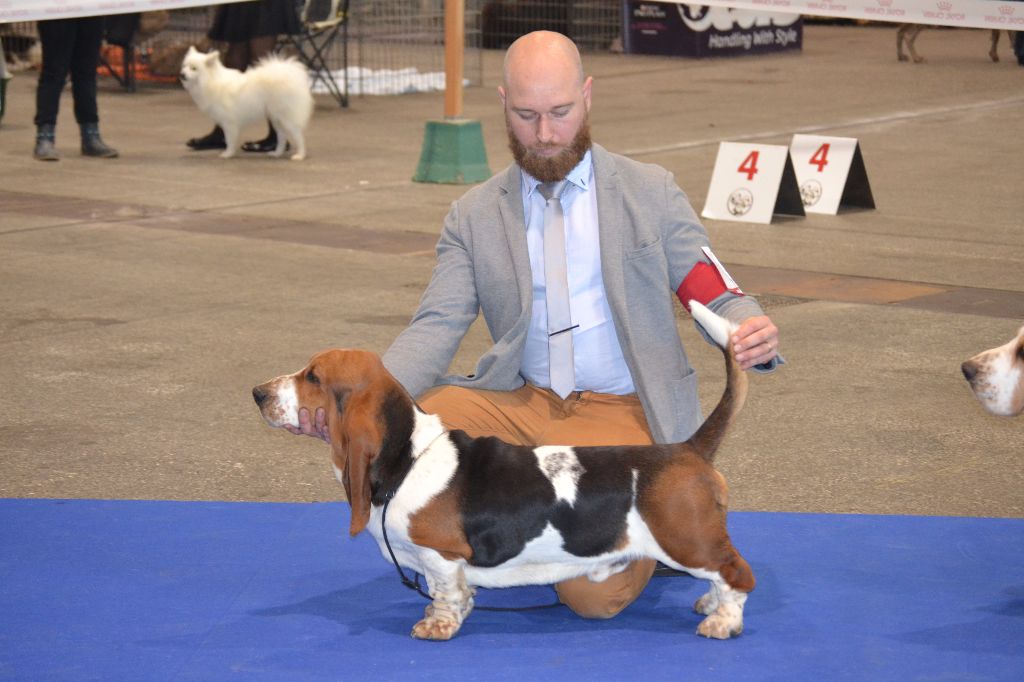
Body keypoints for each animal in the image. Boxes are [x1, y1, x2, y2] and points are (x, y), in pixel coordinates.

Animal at [178, 46, 311, 160]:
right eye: (185, 66)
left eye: (194, 68)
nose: (182, 74)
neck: (211, 81)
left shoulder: (229, 122)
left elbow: (230, 139)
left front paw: (228, 153)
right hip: (276, 119)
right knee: (282, 137)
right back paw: (276, 153)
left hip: (286, 118)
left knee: (298, 136)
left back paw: (300, 155)